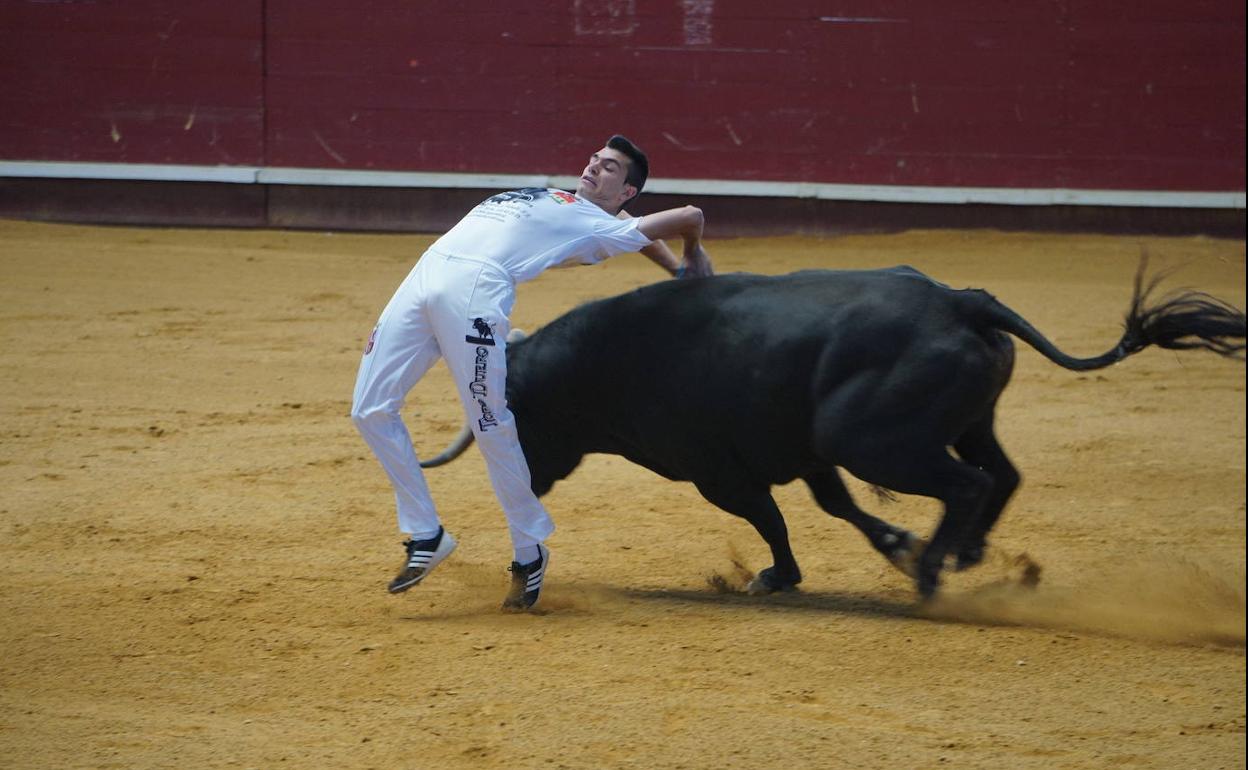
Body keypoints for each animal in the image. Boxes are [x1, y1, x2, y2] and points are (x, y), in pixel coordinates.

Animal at [424, 267, 1243, 596]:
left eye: (518, 417)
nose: (522, 483)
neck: (608, 358)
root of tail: (962, 301)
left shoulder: (720, 472)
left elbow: (774, 520)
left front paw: (778, 576)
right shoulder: (802, 454)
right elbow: (833, 506)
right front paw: (891, 541)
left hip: (872, 439)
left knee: (968, 484)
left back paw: (933, 570)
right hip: (962, 422)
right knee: (1001, 475)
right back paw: (960, 554)